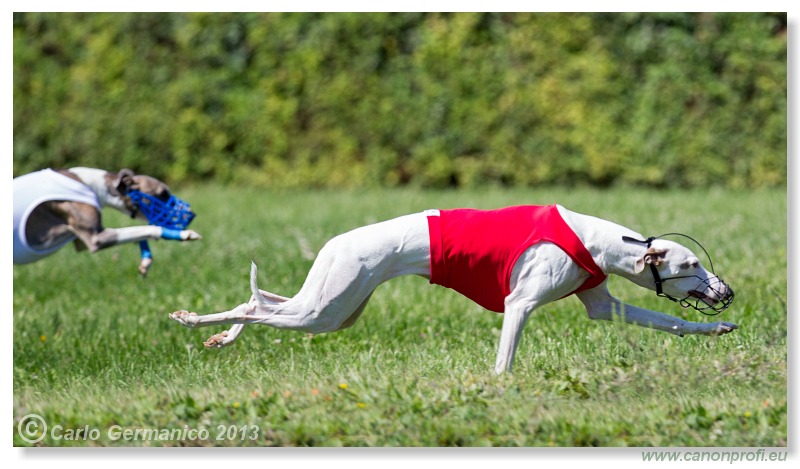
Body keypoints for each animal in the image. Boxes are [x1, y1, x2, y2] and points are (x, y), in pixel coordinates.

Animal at [170, 203, 736, 372]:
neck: (596, 241)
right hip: (327, 308)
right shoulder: (520, 303)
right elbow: (505, 358)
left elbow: (669, 321)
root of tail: (335, 241)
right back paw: (194, 320)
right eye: (690, 263)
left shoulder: (602, 304)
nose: (725, 292)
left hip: (336, 305)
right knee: (257, 309)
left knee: (258, 301)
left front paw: (718, 329)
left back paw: (218, 336)